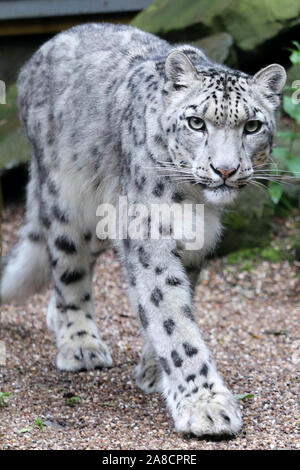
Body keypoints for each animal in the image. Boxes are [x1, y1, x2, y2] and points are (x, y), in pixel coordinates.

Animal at [0, 23, 286, 436]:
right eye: (196, 122)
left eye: (252, 126)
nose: (225, 169)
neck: (194, 202)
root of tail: (39, 54)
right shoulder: (151, 237)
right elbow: (174, 322)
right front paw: (207, 406)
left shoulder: (193, 244)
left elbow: (168, 310)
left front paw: (154, 370)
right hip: (67, 201)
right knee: (68, 269)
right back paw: (80, 344)